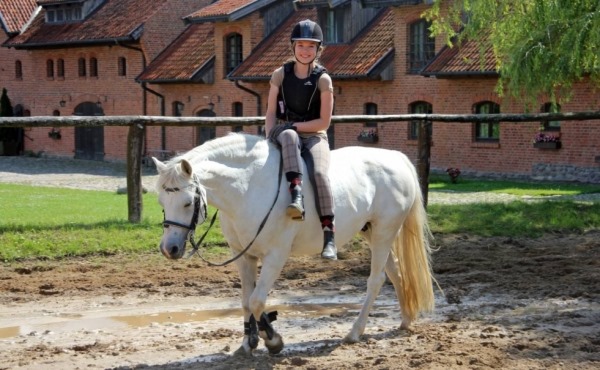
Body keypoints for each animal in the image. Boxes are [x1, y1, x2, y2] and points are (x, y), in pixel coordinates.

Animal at [154, 133, 436, 356]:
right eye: (161, 201)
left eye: (188, 202)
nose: (169, 249)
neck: (248, 187)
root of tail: (396, 158)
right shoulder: (243, 256)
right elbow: (246, 301)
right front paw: (248, 343)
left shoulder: (275, 256)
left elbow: (257, 301)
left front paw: (273, 340)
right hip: (372, 233)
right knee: (394, 272)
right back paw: (406, 320)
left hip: (384, 232)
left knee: (376, 280)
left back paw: (355, 332)